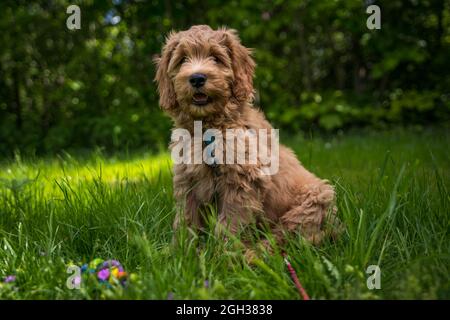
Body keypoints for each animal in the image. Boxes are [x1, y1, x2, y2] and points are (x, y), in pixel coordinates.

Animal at [155, 25, 342, 250]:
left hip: (313, 203)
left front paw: (223, 254)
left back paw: (253, 254)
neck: (209, 128)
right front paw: (180, 251)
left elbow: (229, 224)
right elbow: (186, 219)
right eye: (182, 59)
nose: (197, 78)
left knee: (280, 239)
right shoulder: (187, 181)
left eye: (216, 58)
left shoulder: (242, 181)